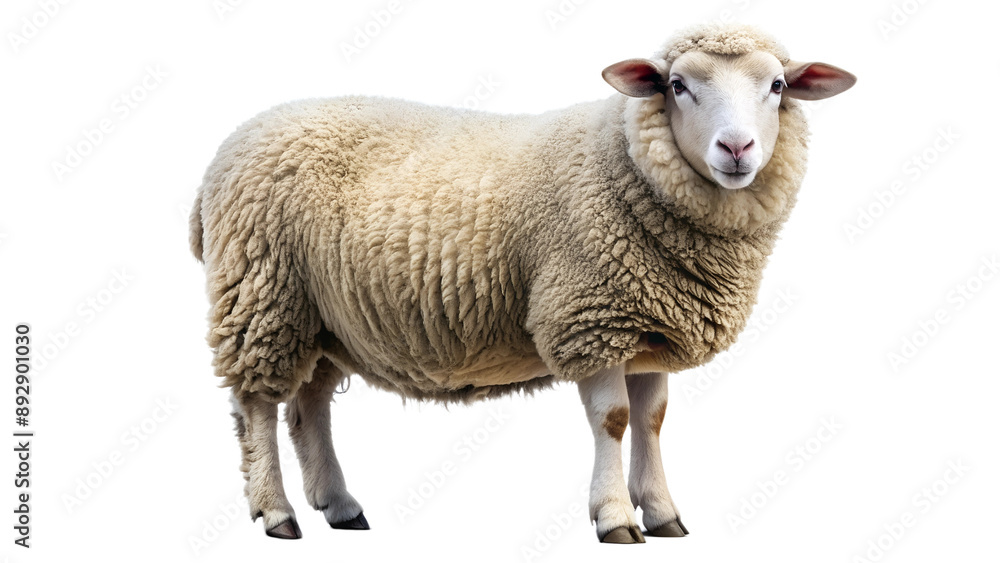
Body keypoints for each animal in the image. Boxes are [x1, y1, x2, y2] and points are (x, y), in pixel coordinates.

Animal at [189, 23, 855, 543]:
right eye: (677, 86)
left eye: (777, 87)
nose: (737, 148)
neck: (625, 162)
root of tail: (229, 149)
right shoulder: (590, 320)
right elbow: (614, 421)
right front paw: (616, 518)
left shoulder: (648, 327)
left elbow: (653, 420)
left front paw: (664, 513)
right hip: (262, 294)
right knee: (256, 406)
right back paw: (277, 513)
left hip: (321, 316)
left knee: (310, 408)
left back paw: (340, 506)